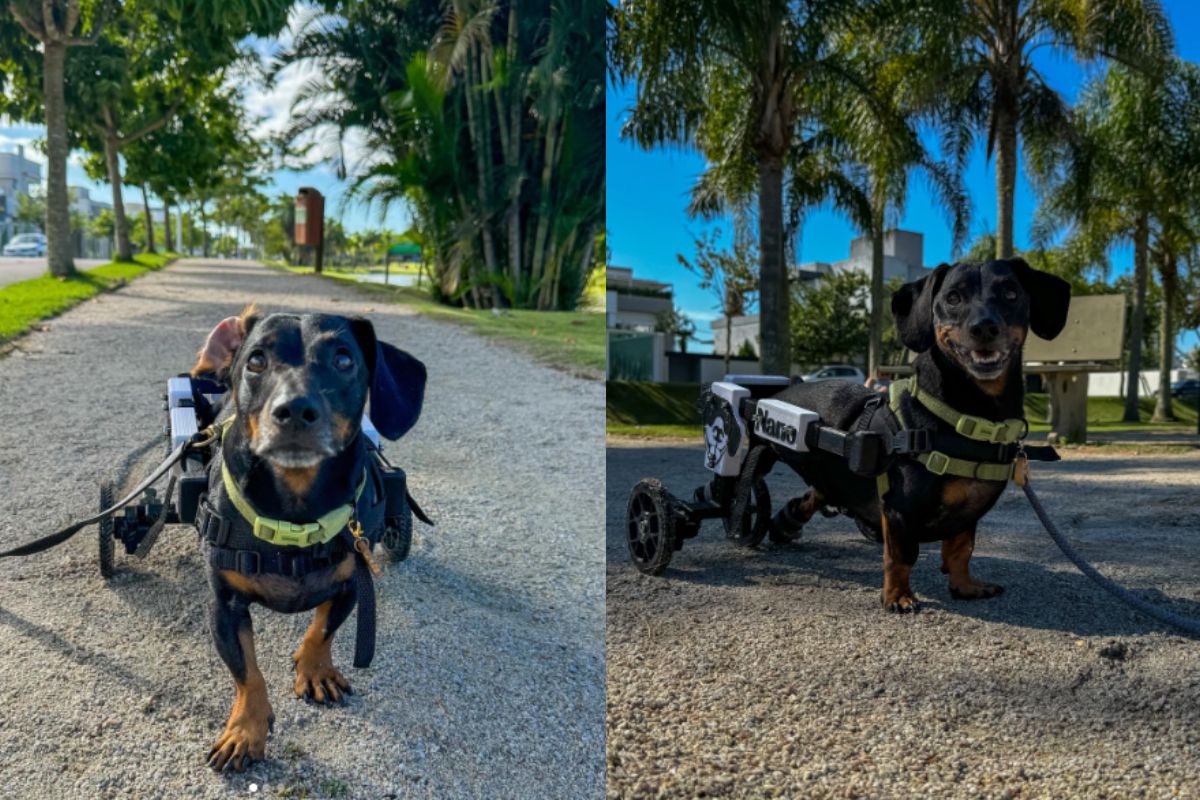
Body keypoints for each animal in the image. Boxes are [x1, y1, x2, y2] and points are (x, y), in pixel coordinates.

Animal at [187, 307, 427, 767]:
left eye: (344, 359)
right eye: (256, 360)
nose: (295, 409)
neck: (294, 520)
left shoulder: (352, 583)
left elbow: (322, 629)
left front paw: (315, 670)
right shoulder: (223, 604)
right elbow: (246, 671)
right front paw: (245, 730)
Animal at [768, 256, 1070, 614]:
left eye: (1011, 293)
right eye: (953, 298)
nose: (984, 327)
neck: (967, 418)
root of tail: (786, 389)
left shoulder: (966, 515)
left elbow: (961, 549)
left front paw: (964, 585)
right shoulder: (899, 510)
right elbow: (901, 556)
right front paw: (898, 596)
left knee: (813, 496)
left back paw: (786, 521)